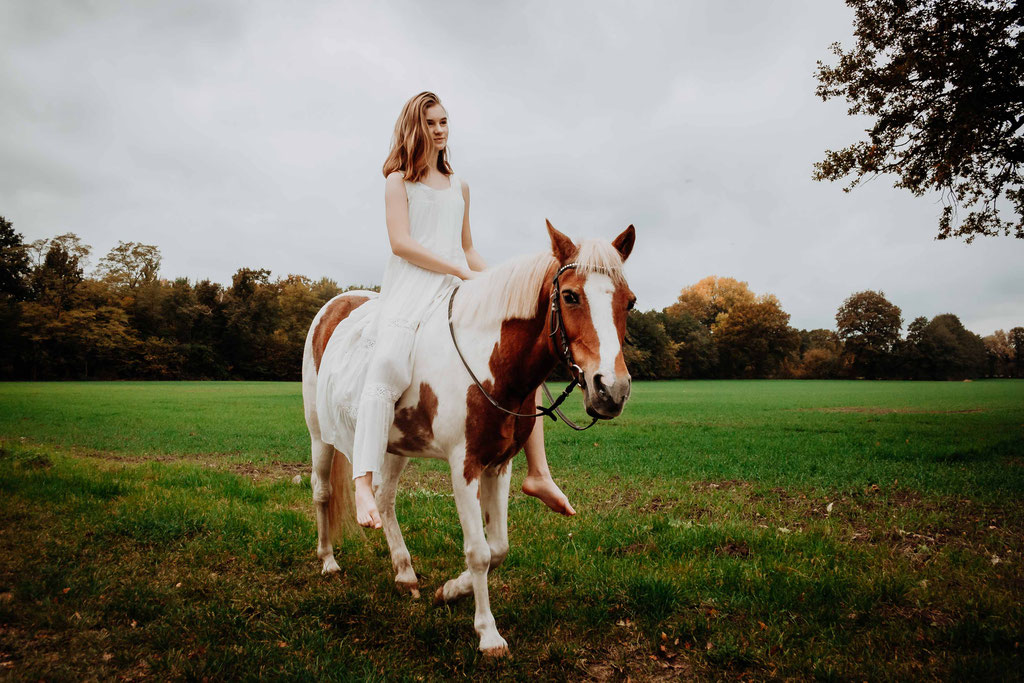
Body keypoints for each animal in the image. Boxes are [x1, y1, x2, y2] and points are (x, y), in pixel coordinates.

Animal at [299, 223, 630, 655]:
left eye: (630, 302)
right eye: (571, 296)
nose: (612, 390)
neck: (488, 359)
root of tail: (336, 303)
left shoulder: (499, 465)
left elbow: (498, 548)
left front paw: (451, 591)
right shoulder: (465, 466)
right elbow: (478, 552)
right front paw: (487, 632)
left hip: (394, 445)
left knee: (385, 499)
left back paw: (405, 572)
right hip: (320, 434)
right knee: (322, 491)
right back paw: (328, 560)